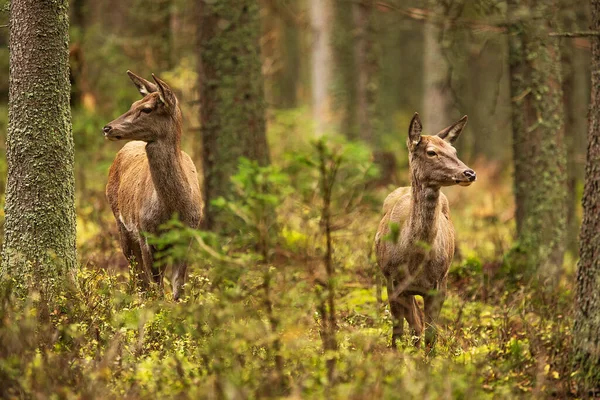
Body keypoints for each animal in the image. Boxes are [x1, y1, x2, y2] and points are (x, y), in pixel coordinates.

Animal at [103, 71, 204, 300]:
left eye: (147, 108)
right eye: (133, 103)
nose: (107, 128)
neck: (174, 209)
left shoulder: (188, 235)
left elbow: (178, 288)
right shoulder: (145, 234)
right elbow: (155, 288)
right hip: (121, 222)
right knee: (137, 275)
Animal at [376, 112, 478, 350]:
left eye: (454, 151)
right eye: (431, 152)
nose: (469, 173)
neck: (414, 259)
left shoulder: (439, 285)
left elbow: (430, 336)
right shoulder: (392, 281)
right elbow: (398, 331)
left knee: (418, 325)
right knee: (413, 323)